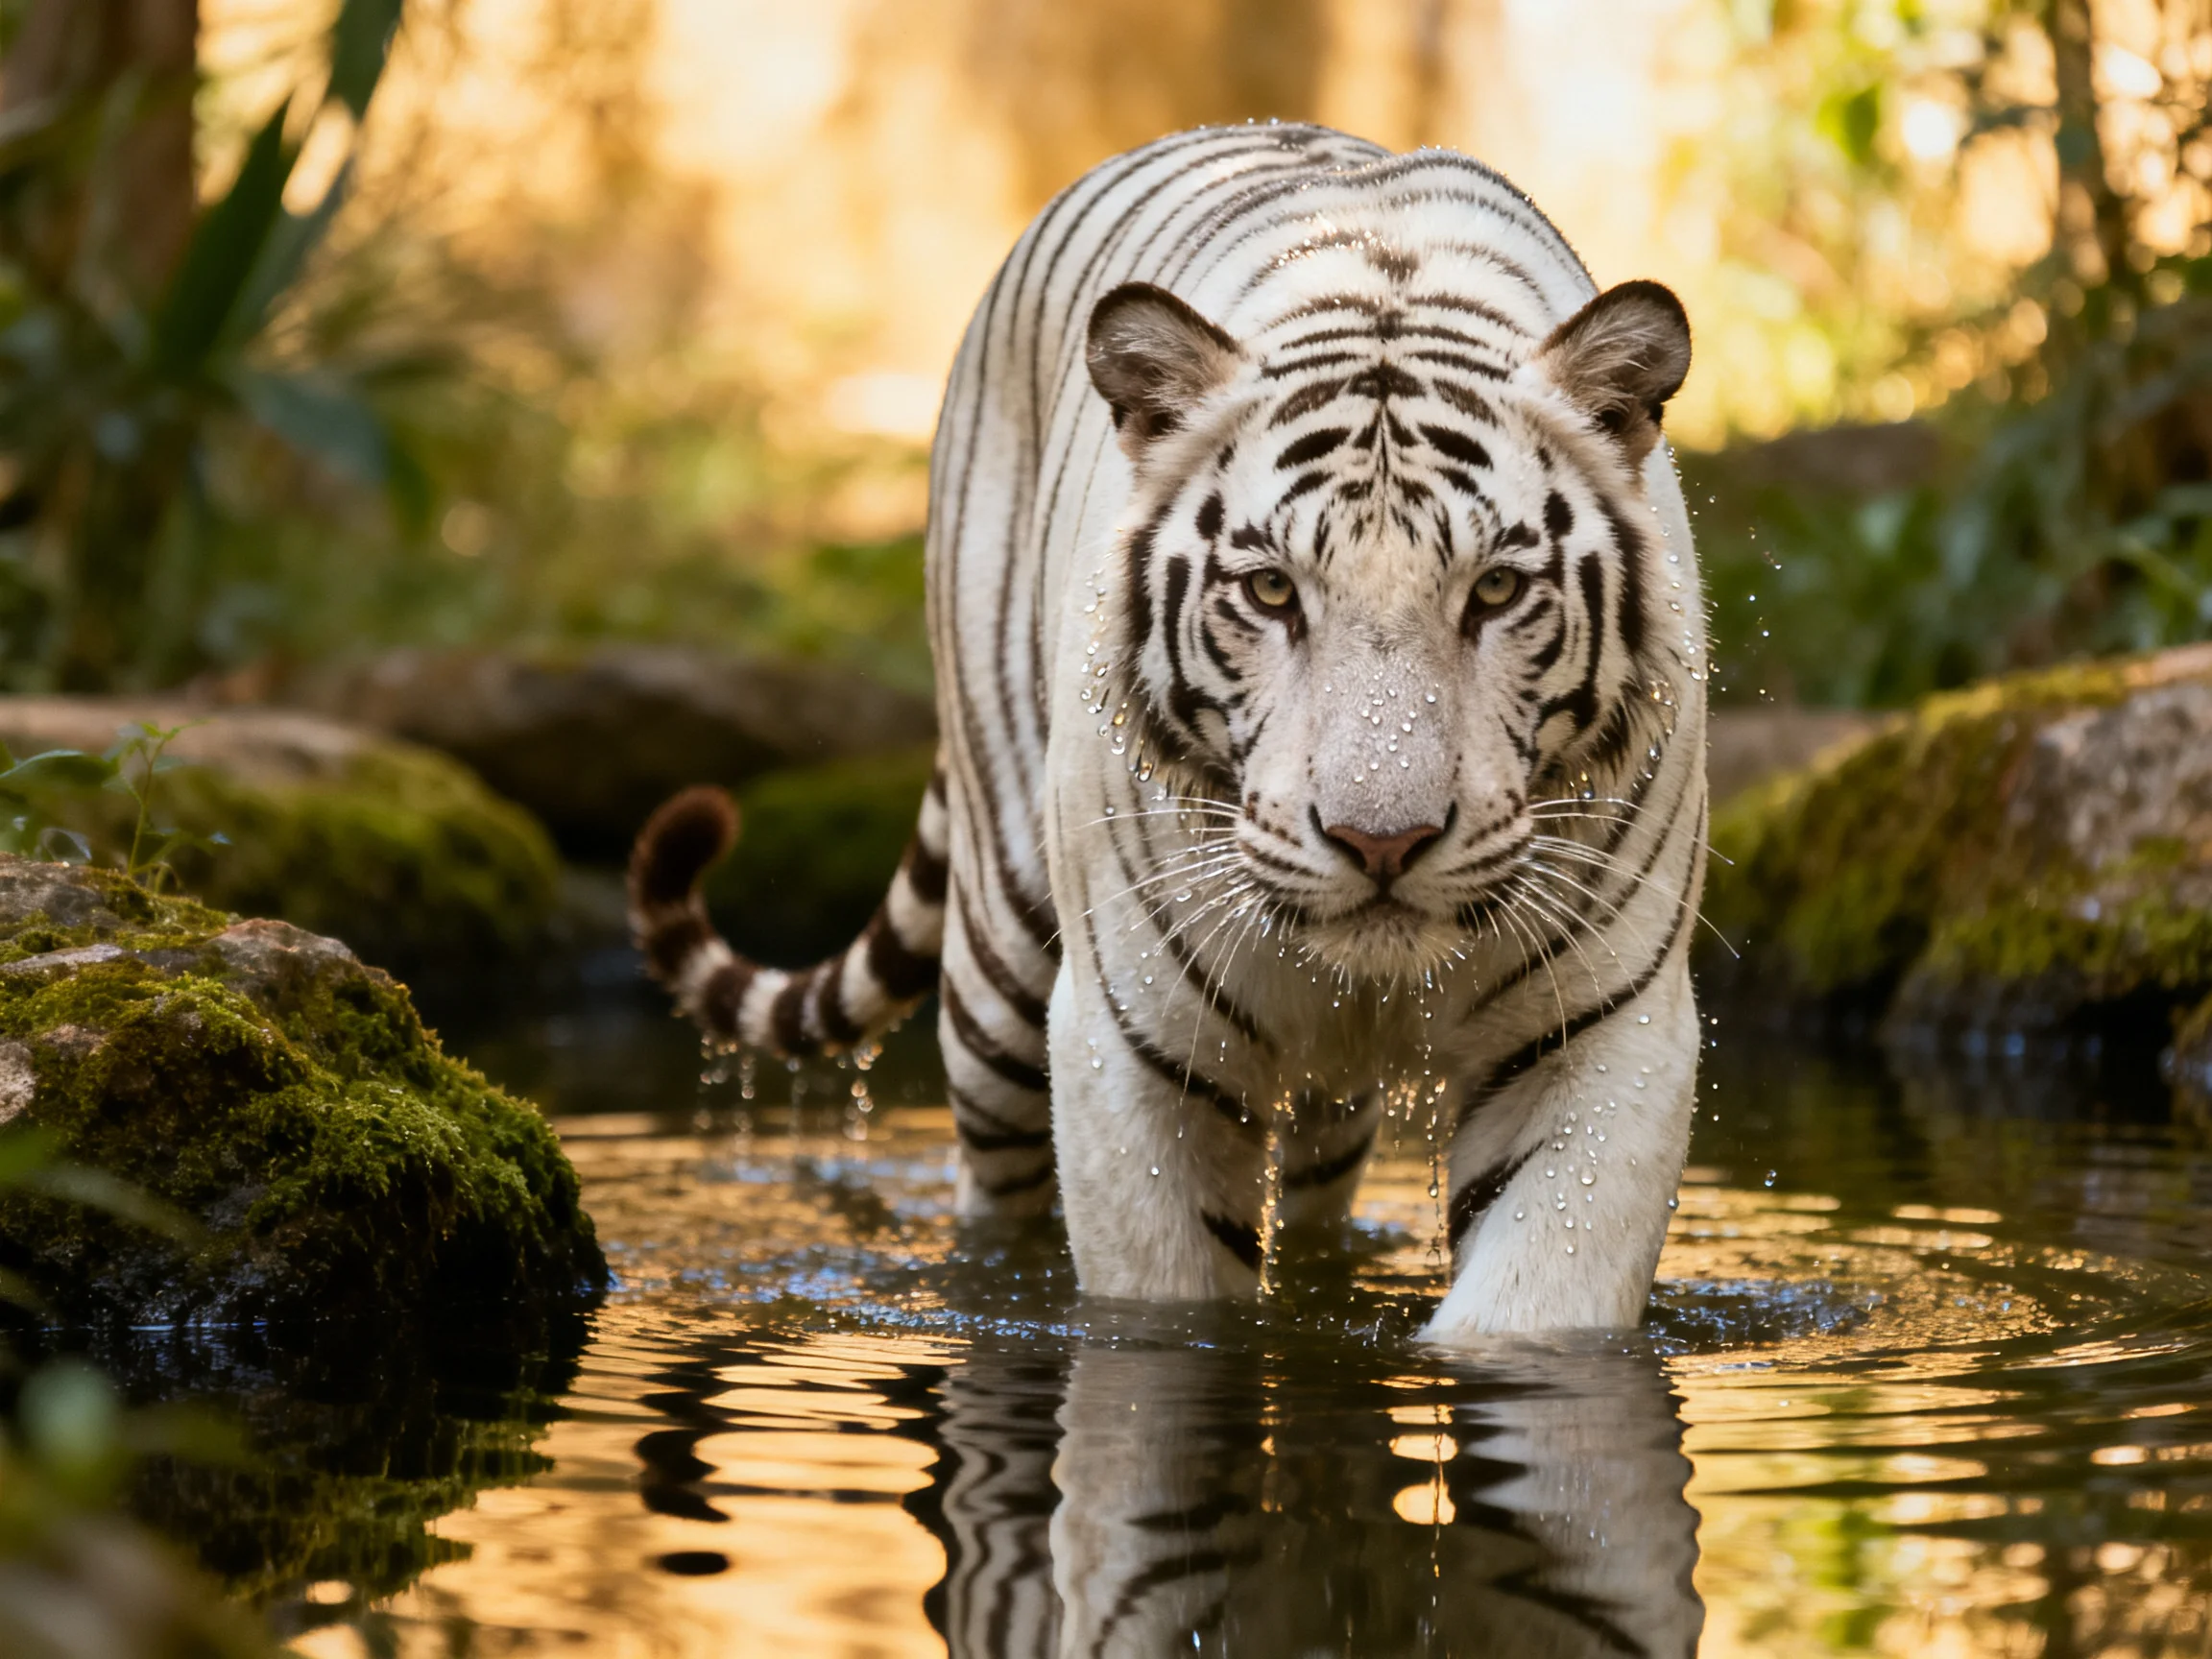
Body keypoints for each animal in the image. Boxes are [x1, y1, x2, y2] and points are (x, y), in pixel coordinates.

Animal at [630, 122, 1707, 1341]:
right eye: (1273, 591)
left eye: (1496, 591)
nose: (1381, 843)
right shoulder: (1133, 1041)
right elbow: (1165, 1304)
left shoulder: (1603, 1033)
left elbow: (1537, 1303)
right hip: (1000, 965)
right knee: (993, 1199)